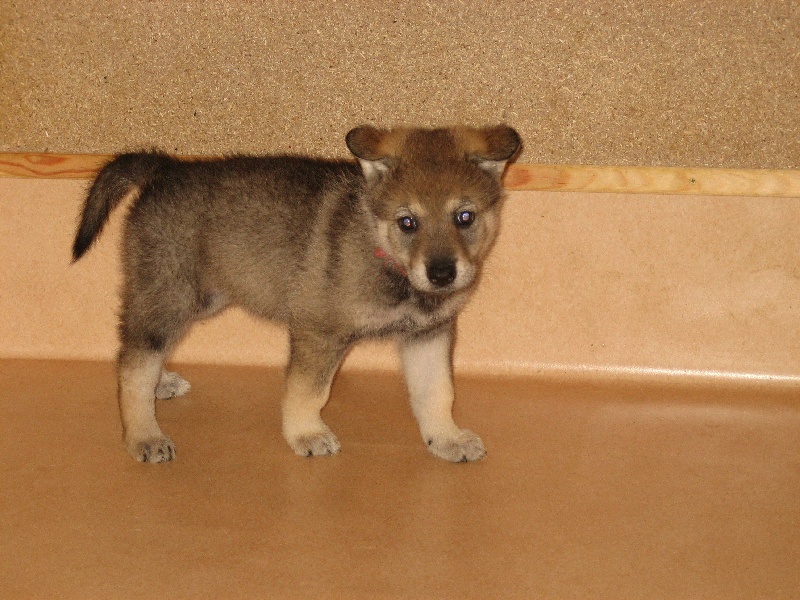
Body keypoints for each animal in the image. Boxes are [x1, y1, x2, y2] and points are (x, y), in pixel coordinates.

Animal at [72, 125, 520, 464]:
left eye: (465, 217)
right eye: (407, 222)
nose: (442, 274)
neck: (384, 256)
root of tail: (168, 169)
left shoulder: (428, 336)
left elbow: (437, 392)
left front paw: (445, 438)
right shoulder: (318, 332)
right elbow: (308, 392)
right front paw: (305, 434)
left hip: (201, 298)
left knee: (139, 350)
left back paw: (159, 384)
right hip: (171, 295)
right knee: (133, 363)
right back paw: (143, 434)